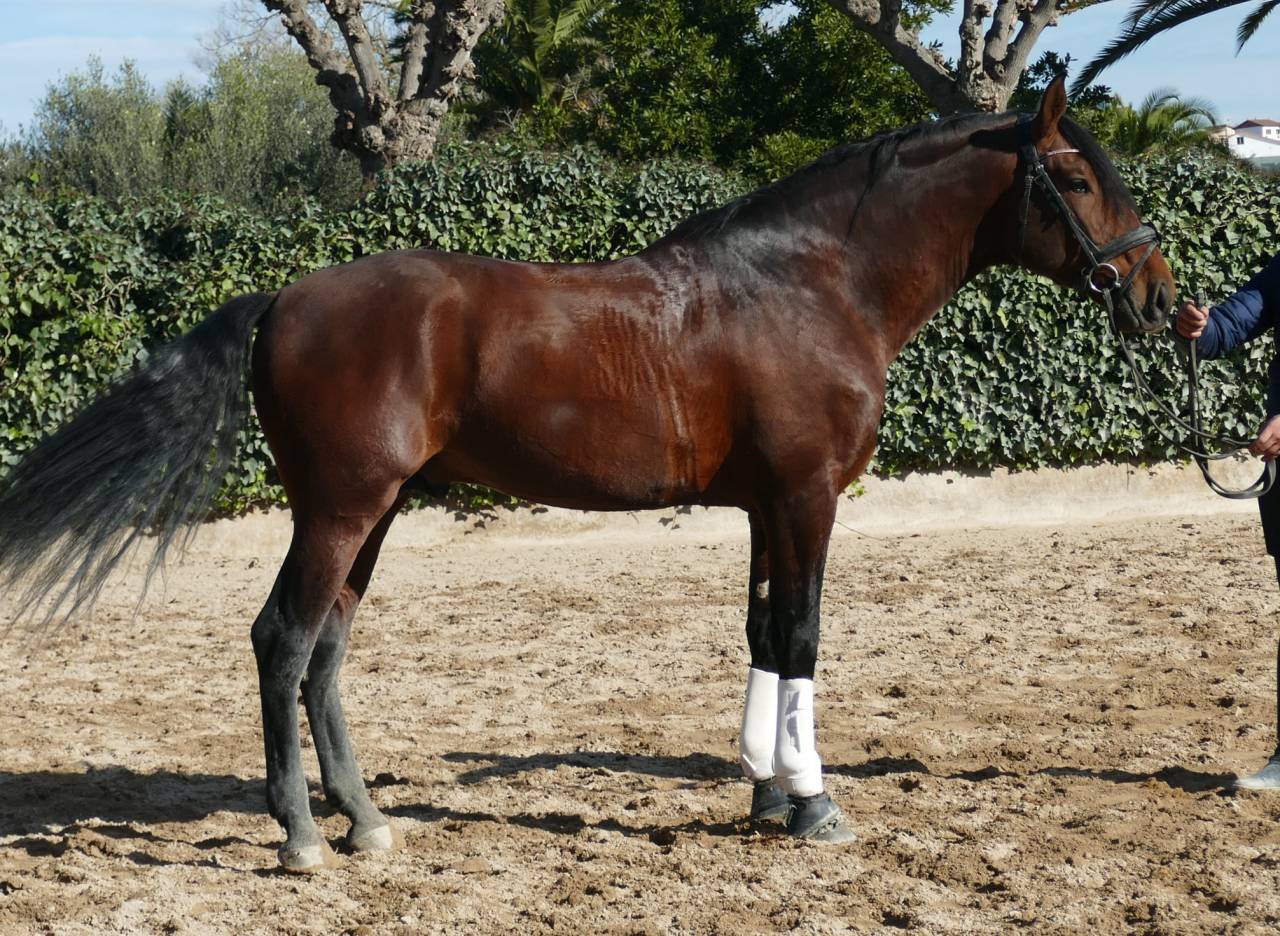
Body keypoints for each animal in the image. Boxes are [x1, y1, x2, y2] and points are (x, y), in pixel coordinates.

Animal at [0, 76, 1174, 871]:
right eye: (1075, 178)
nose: (1159, 295)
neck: (812, 283)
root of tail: (283, 298)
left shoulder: (764, 506)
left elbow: (760, 632)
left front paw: (763, 795)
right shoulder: (806, 498)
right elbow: (800, 637)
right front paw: (811, 803)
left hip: (373, 514)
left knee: (326, 649)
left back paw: (365, 820)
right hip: (339, 508)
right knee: (282, 640)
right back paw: (299, 836)